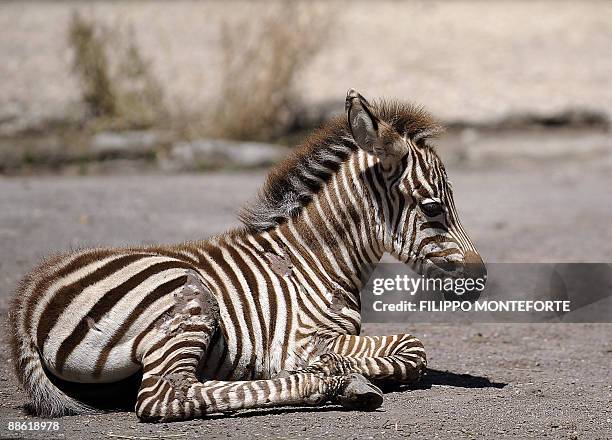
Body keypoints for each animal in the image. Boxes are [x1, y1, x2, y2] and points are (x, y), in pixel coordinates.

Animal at [8, 88, 488, 420]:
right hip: (184, 296)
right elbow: (413, 348)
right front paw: (336, 365)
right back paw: (331, 383)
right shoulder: (305, 335)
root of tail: (27, 300)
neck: (316, 262)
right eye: (433, 207)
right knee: (167, 396)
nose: (480, 278)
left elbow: (410, 352)